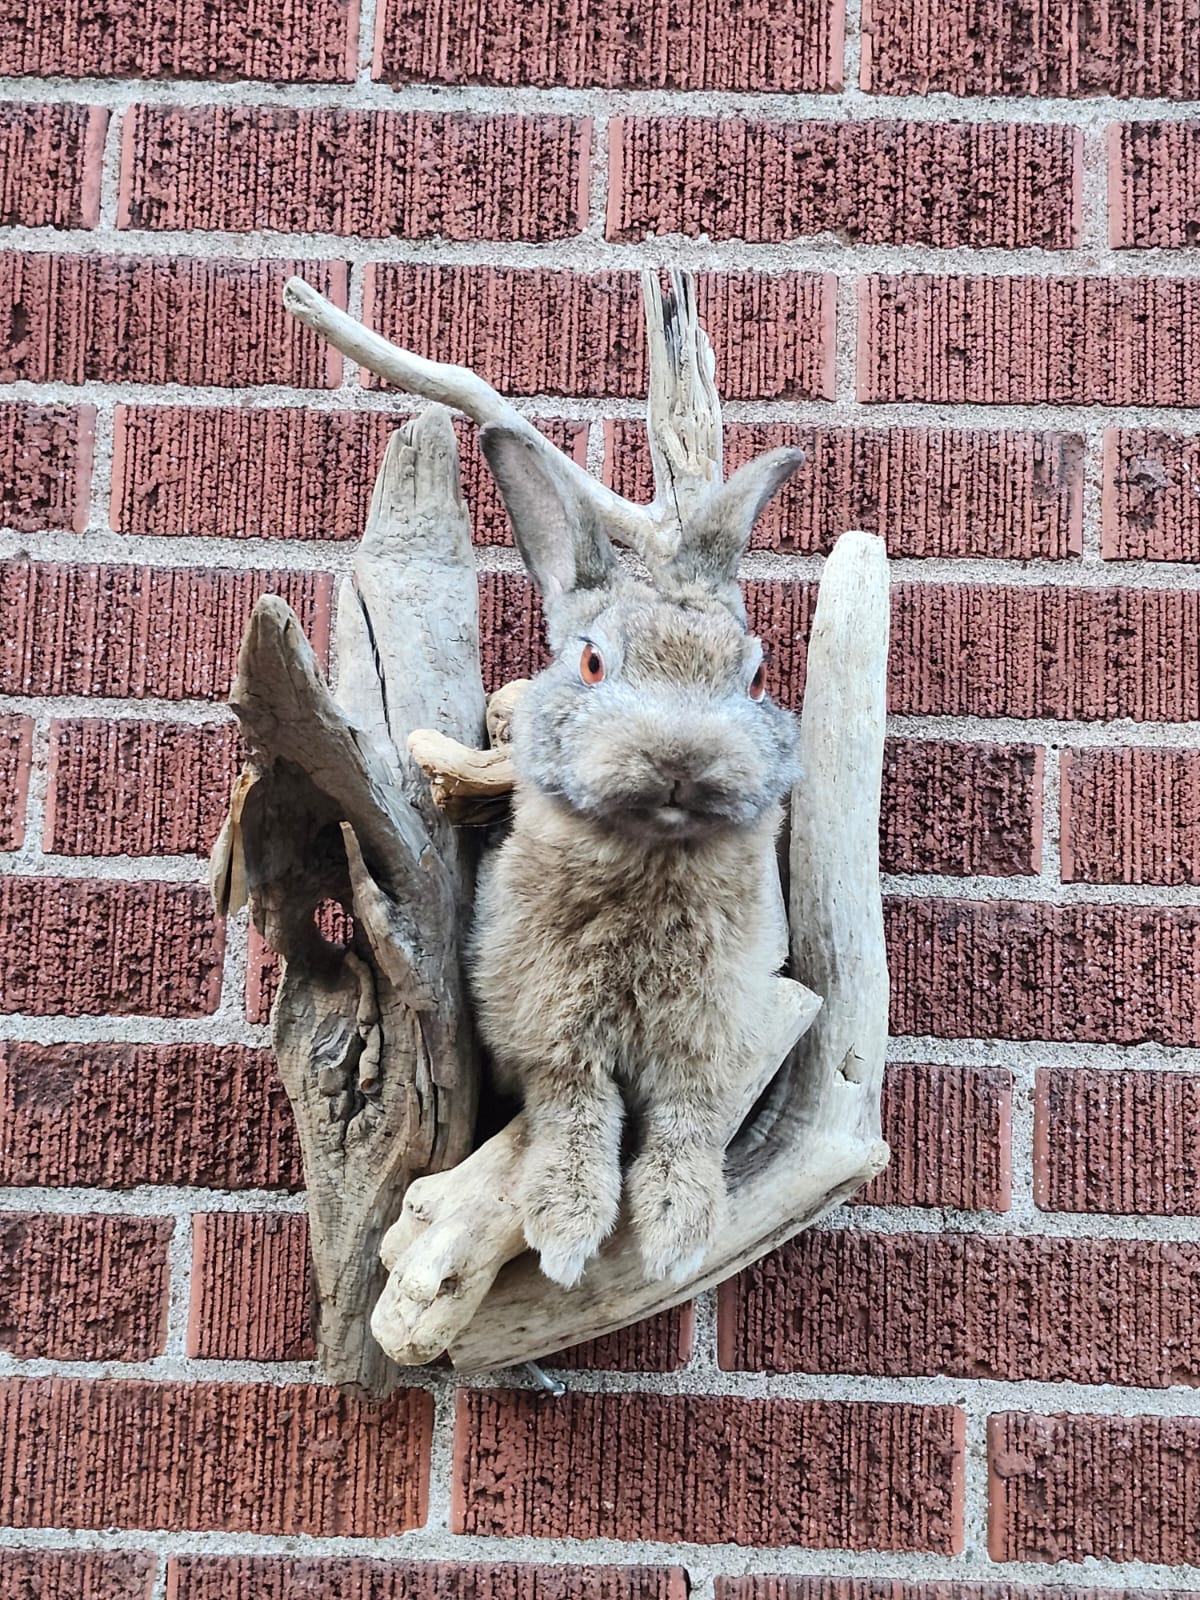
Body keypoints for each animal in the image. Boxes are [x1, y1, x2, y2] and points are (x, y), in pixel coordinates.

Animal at [469, 422, 805, 1289]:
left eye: (757, 680)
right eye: (591, 664)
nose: (682, 759)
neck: (655, 855)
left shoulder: (712, 1034)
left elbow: (689, 1120)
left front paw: (679, 1229)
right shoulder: (548, 1031)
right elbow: (574, 1113)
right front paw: (563, 1230)